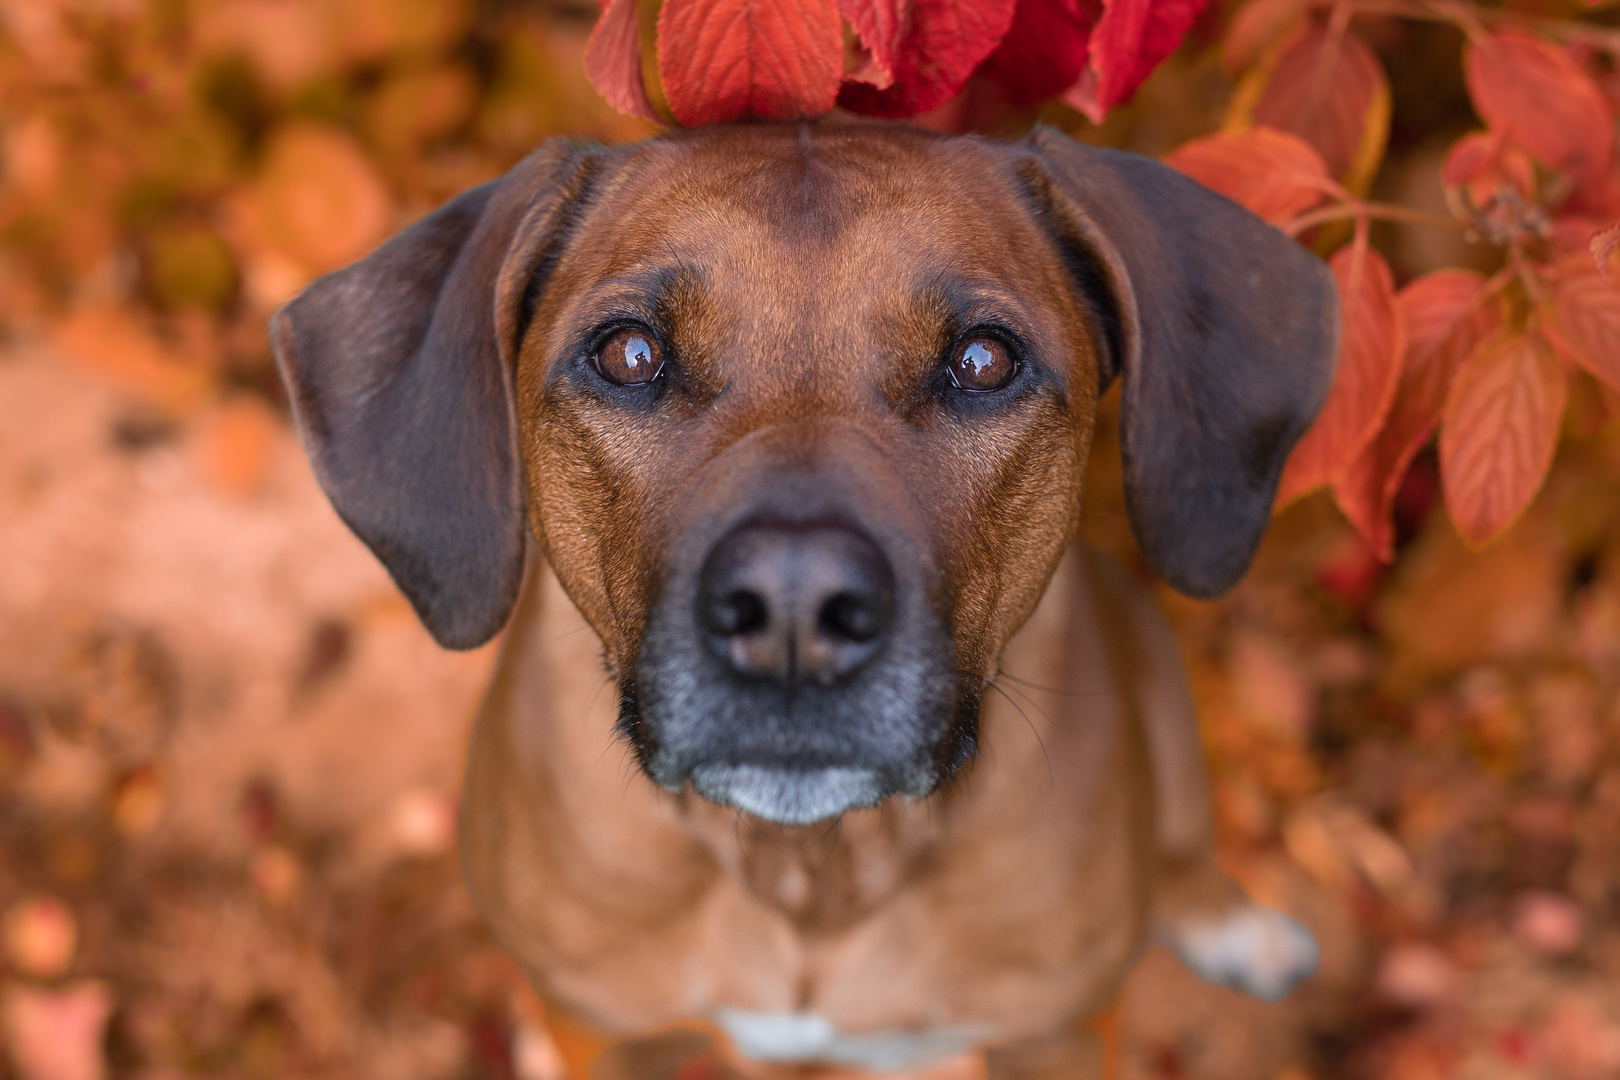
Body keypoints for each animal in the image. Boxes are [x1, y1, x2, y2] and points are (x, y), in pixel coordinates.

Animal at [275, 122, 1341, 1075]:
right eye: (628, 355)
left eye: (983, 360)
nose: (793, 607)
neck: (809, 871)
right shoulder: (602, 1029)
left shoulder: (1059, 1034)